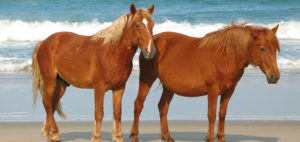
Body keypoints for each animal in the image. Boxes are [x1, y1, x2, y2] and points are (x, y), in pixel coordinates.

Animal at [31, 3, 156, 142]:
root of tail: (43, 42)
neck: (112, 53)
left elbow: (117, 113)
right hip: (50, 81)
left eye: (152, 25)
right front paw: (96, 137)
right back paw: (54, 134)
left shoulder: (119, 88)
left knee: (52, 105)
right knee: (47, 104)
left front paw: (118, 137)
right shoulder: (99, 87)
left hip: (61, 84)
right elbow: (99, 113)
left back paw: (50, 133)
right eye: (137, 25)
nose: (150, 51)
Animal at [131, 22, 282, 141]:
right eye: (262, 48)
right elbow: (212, 114)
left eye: (275, 49)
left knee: (163, 107)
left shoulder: (229, 91)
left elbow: (222, 114)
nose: (274, 77)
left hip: (169, 87)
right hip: (146, 79)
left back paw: (166, 136)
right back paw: (135, 135)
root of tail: (150, 42)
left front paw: (221, 137)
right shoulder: (212, 90)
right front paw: (210, 138)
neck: (224, 57)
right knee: (138, 104)